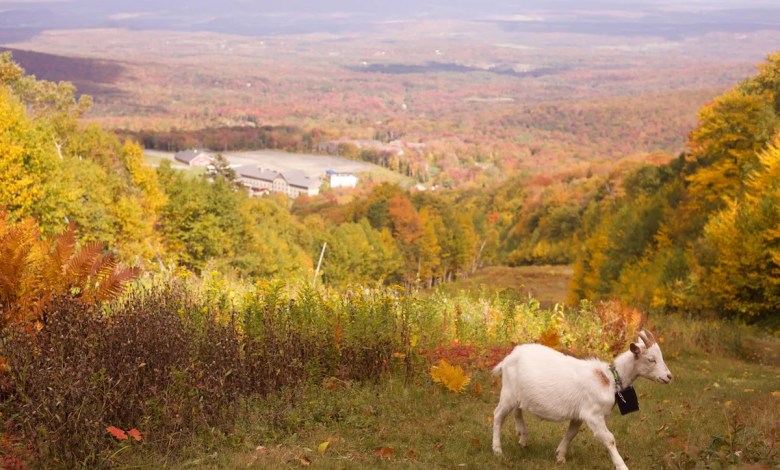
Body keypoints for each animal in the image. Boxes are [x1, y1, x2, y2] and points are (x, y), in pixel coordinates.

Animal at [491, 329, 672, 470]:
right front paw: (622, 465)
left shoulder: (579, 414)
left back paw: (523, 437)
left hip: (518, 395)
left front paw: (560, 456)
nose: (668, 376)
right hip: (507, 393)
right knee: (498, 415)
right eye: (651, 359)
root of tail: (509, 358)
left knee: (517, 410)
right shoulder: (593, 414)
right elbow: (610, 439)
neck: (609, 379)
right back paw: (497, 450)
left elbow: (571, 434)